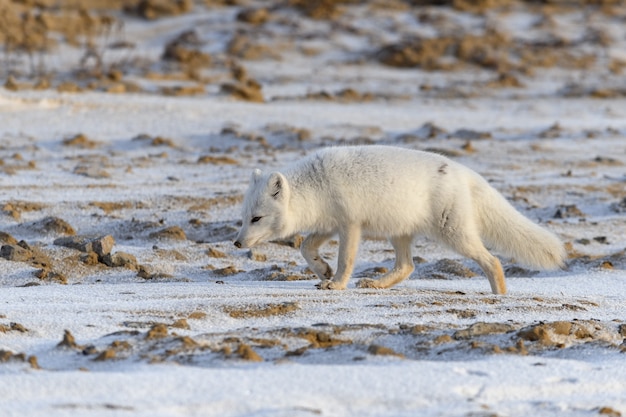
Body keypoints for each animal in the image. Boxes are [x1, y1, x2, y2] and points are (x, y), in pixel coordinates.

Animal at [234, 145, 564, 294]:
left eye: (257, 218)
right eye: (244, 217)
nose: (236, 243)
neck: (316, 185)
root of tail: (464, 171)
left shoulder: (350, 224)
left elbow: (346, 259)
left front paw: (336, 283)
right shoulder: (329, 223)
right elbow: (306, 247)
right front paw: (323, 270)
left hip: (454, 234)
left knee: (492, 261)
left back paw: (499, 297)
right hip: (399, 232)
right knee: (408, 266)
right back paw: (376, 284)